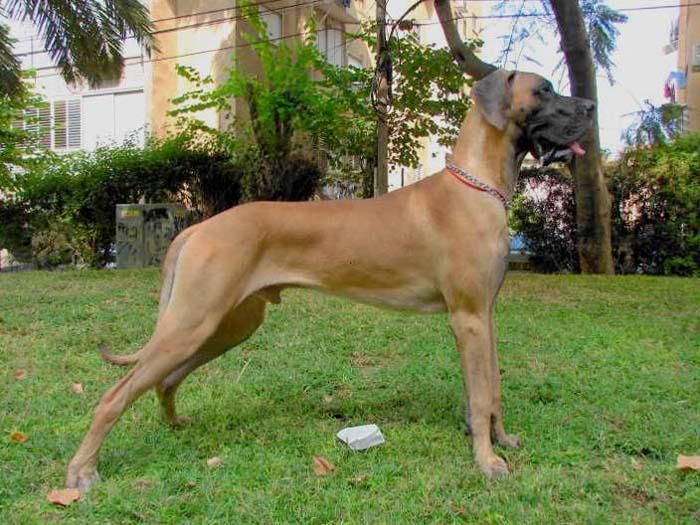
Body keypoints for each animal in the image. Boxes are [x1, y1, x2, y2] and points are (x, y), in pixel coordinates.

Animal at [66, 70, 594, 491]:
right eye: (543, 90)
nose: (591, 107)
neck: (476, 186)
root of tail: (198, 227)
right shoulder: (467, 318)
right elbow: (482, 393)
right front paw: (486, 460)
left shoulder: (485, 315)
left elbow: (492, 388)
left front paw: (499, 439)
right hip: (193, 322)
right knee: (114, 396)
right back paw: (82, 471)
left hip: (228, 324)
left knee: (167, 378)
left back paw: (175, 424)